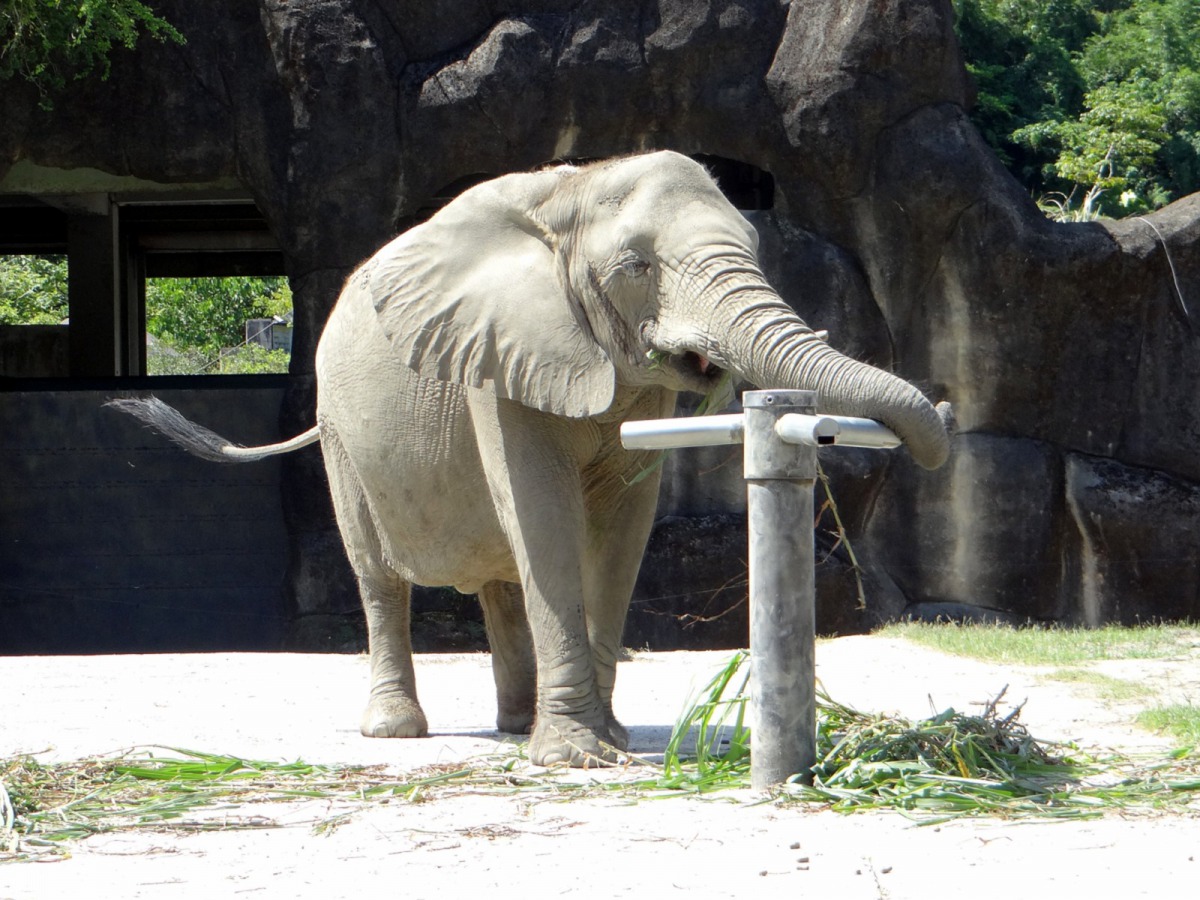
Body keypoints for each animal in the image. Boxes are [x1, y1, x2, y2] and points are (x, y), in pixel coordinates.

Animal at [110, 151, 950, 767]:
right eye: (637, 267)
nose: (941, 414)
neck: (571, 195)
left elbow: (621, 524)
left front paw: (606, 741)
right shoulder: (493, 354)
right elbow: (545, 511)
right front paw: (578, 758)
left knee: (501, 575)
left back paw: (518, 723)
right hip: (341, 430)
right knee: (379, 574)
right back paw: (398, 729)